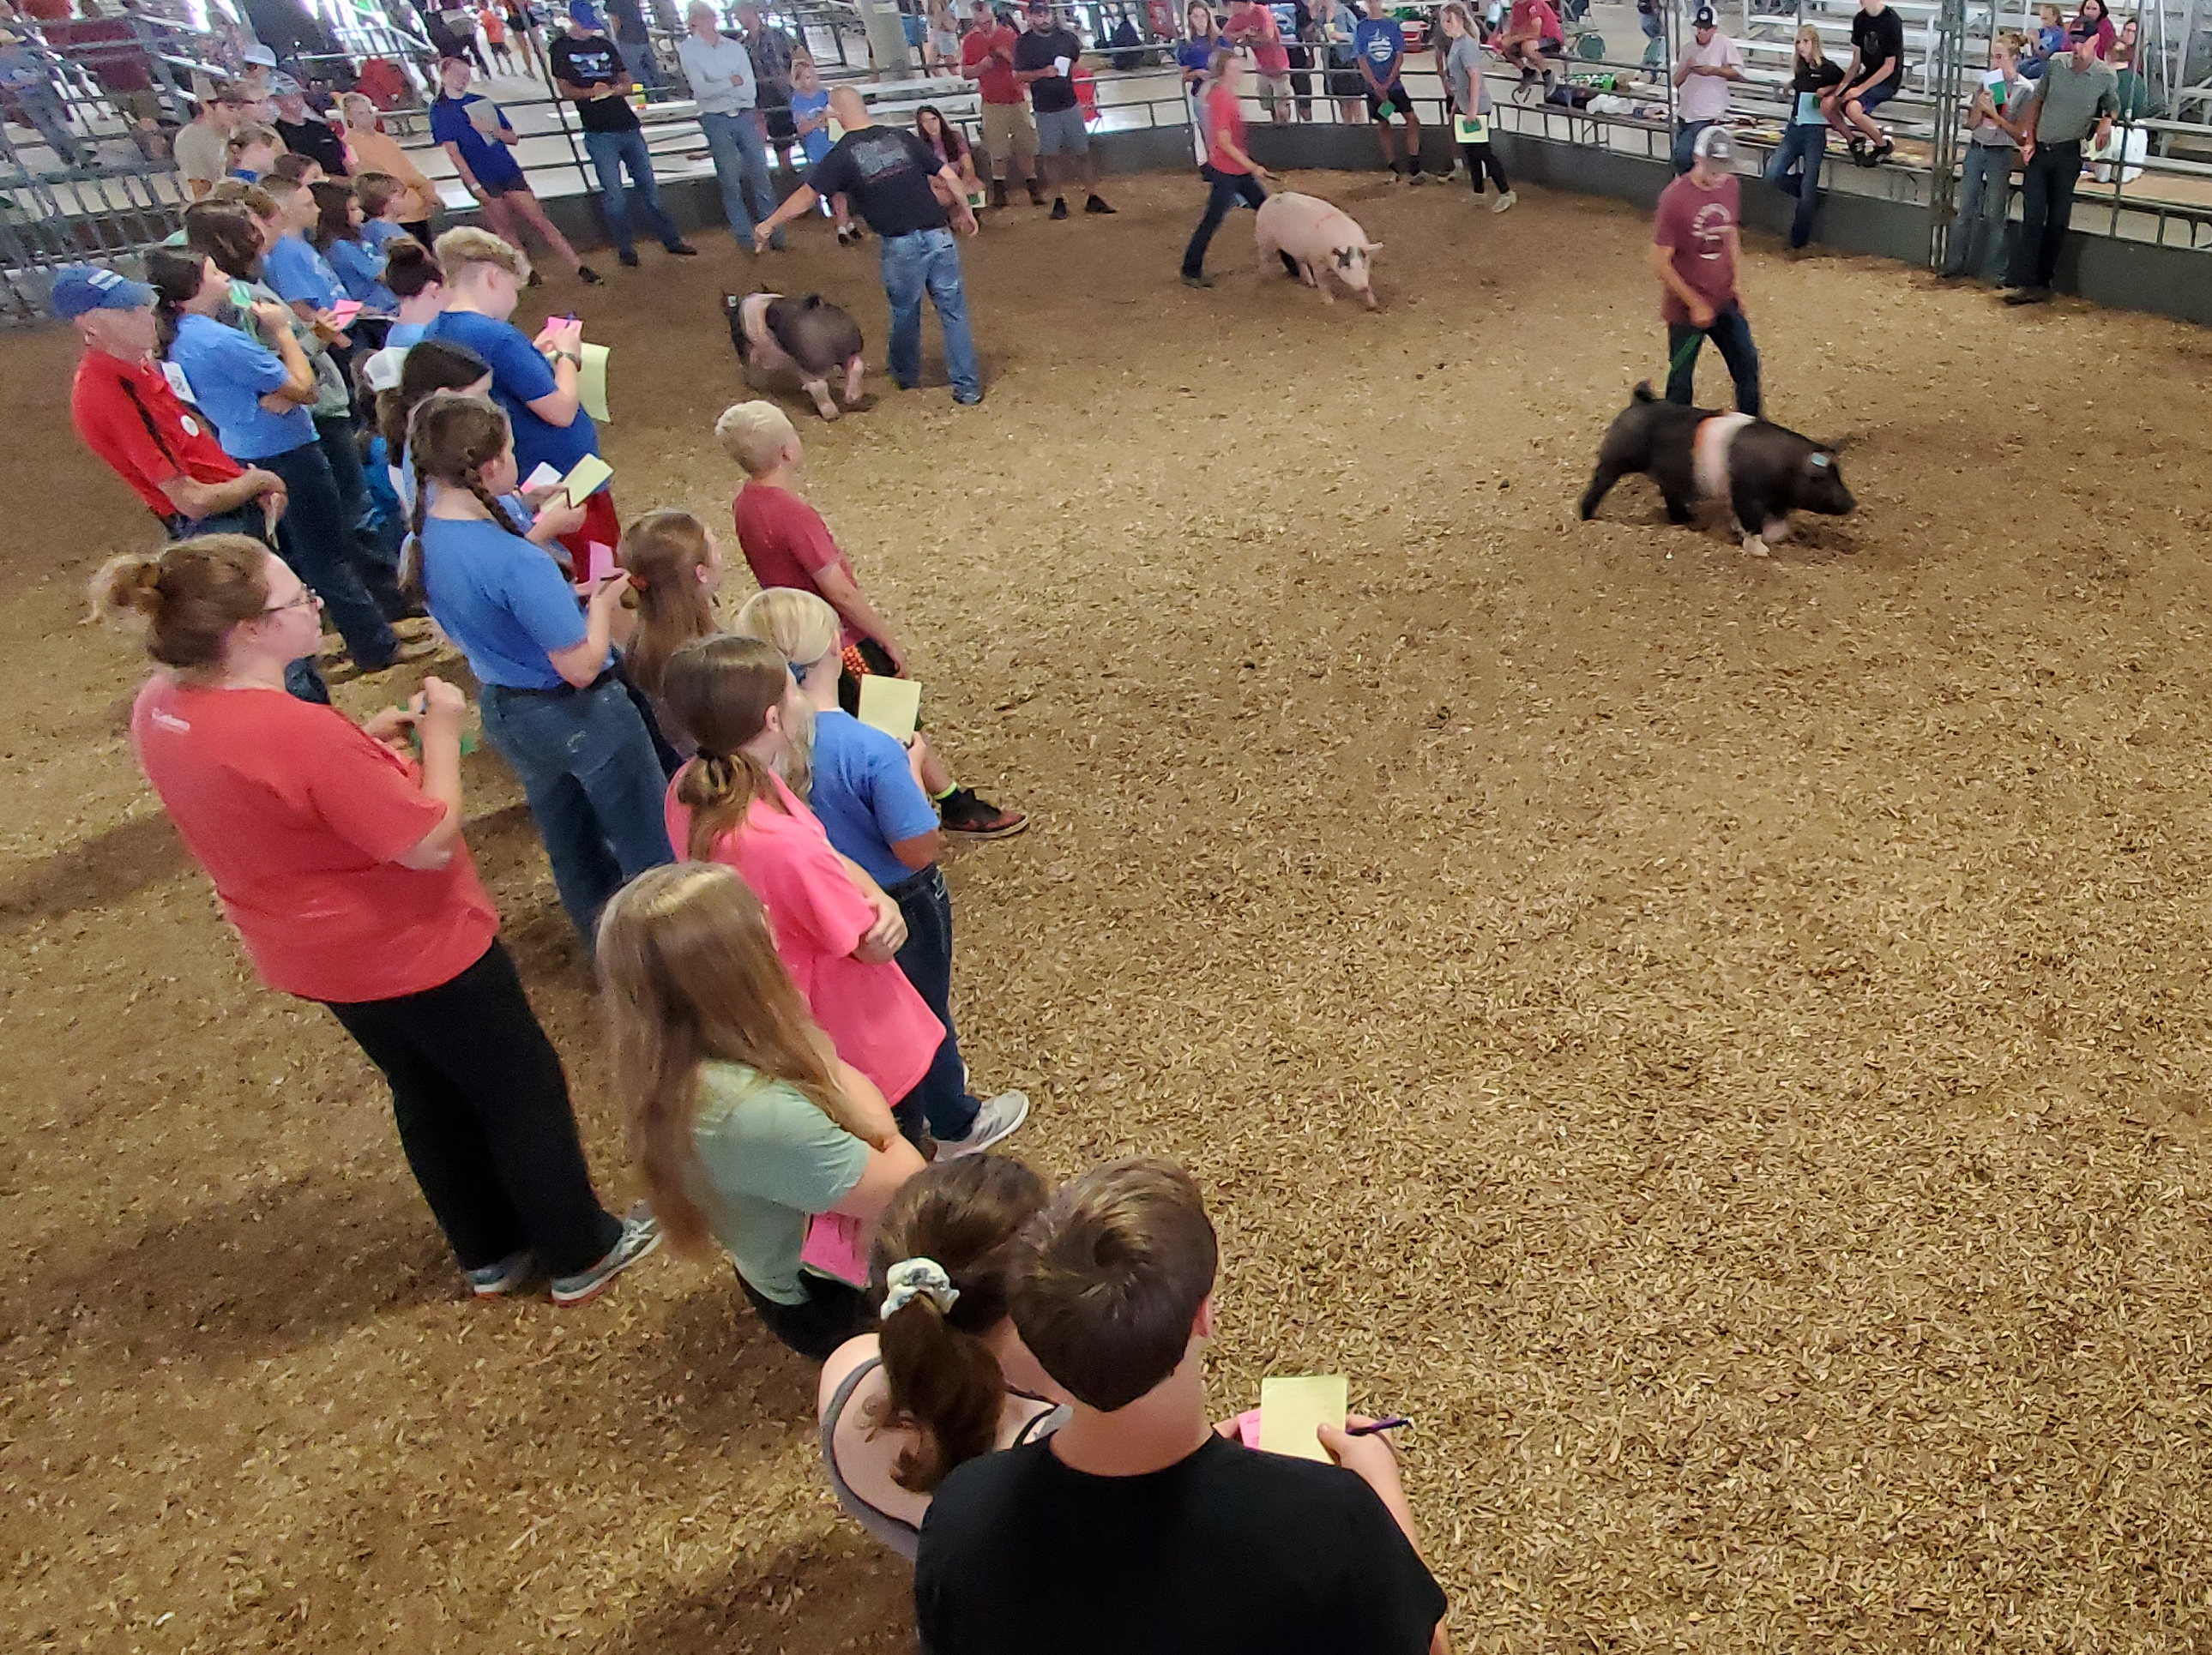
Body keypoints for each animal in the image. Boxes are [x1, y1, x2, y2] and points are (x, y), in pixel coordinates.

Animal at [1265, 192, 1380, 311]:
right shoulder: (1316, 260)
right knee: (1267, 259)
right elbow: (1322, 282)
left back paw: (1311, 284)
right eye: (1347, 265)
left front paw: (1373, 305)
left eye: (1363, 265)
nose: (1363, 288)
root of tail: (1274, 197)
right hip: (1265, 240)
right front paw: (1330, 302)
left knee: (1300, 263)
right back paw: (1270, 277)